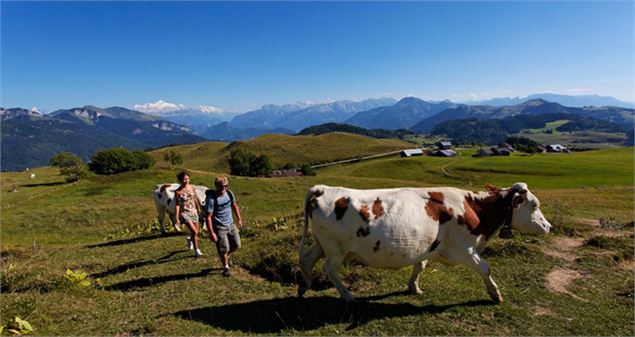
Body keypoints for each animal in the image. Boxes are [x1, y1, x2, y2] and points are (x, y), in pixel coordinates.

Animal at [298, 181, 552, 302]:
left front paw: (414, 287)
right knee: (329, 269)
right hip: (335, 249)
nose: (549, 226)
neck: (474, 209)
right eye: (534, 205)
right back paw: (348, 296)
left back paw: (304, 286)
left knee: (308, 260)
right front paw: (495, 294)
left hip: (321, 243)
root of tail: (323, 188)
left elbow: (419, 265)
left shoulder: (428, 246)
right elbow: (485, 268)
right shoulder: (465, 249)